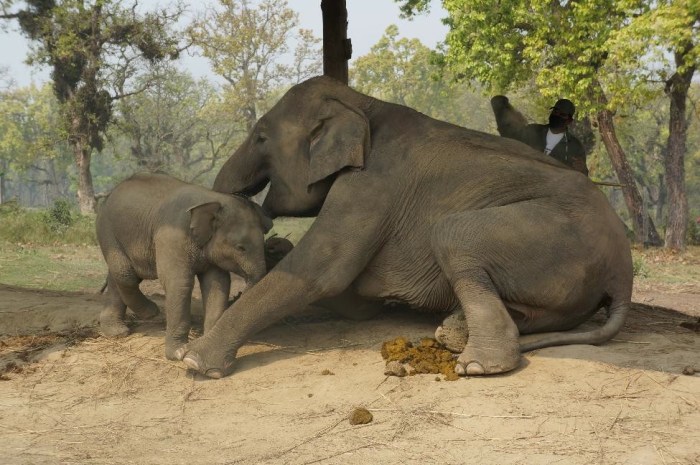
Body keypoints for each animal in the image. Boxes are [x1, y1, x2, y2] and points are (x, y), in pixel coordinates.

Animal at [96, 172, 271, 360]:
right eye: (240, 247)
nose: (239, 297)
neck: (212, 199)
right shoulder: (172, 237)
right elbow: (179, 283)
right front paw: (178, 353)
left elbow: (217, 283)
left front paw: (202, 343)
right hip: (107, 231)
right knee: (125, 273)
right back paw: (150, 312)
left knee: (118, 275)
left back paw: (116, 332)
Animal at [180, 76, 633, 379]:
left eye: (260, 137)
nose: (267, 231)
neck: (363, 104)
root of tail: (623, 273)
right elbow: (351, 298)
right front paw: (277, 250)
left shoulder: (373, 186)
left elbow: (322, 272)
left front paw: (194, 361)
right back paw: (453, 331)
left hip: (552, 237)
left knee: (453, 234)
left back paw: (473, 362)